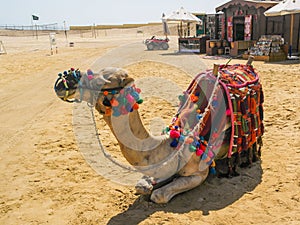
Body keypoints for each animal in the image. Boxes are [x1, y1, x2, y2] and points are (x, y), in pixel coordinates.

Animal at [54, 59, 264, 203]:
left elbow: (158, 196)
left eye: (104, 82)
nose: (66, 79)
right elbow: (142, 186)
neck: (171, 142)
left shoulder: (200, 173)